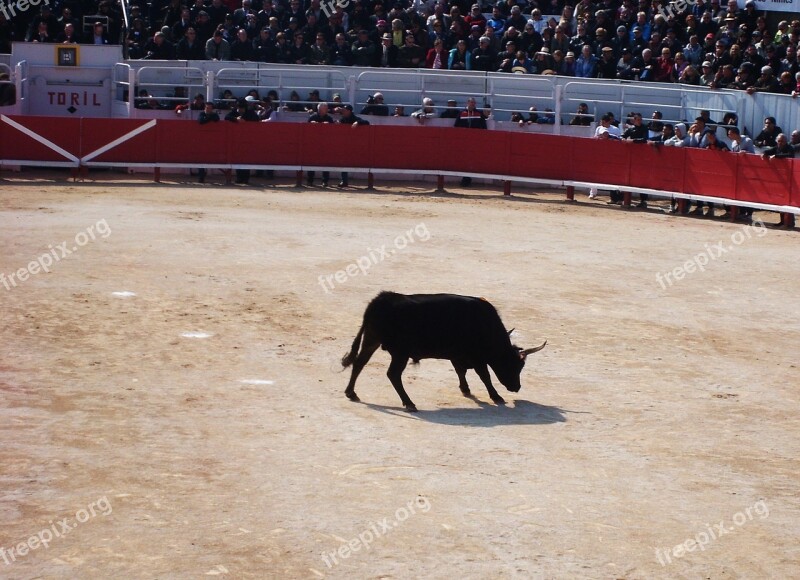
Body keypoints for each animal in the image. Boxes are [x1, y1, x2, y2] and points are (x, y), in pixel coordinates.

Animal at [340, 292, 548, 410]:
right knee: (393, 374)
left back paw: (351, 393)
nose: (516, 387)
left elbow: (460, 371)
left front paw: (466, 389)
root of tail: (380, 300)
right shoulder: (476, 356)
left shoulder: (458, 355)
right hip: (400, 353)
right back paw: (409, 403)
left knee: (359, 363)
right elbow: (485, 375)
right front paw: (496, 396)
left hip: (372, 340)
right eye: (516, 365)